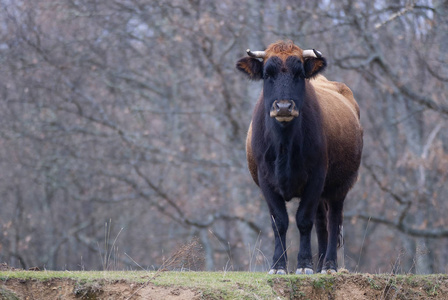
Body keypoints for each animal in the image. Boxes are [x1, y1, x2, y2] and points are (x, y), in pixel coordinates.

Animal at [236, 41, 362, 276]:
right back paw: (320, 264)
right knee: (322, 223)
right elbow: (279, 222)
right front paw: (278, 265)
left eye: (299, 74)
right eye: (267, 74)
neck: (284, 145)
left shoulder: (316, 178)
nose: (284, 107)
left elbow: (304, 220)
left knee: (332, 221)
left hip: (339, 186)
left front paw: (304, 264)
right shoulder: (266, 181)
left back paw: (329, 265)